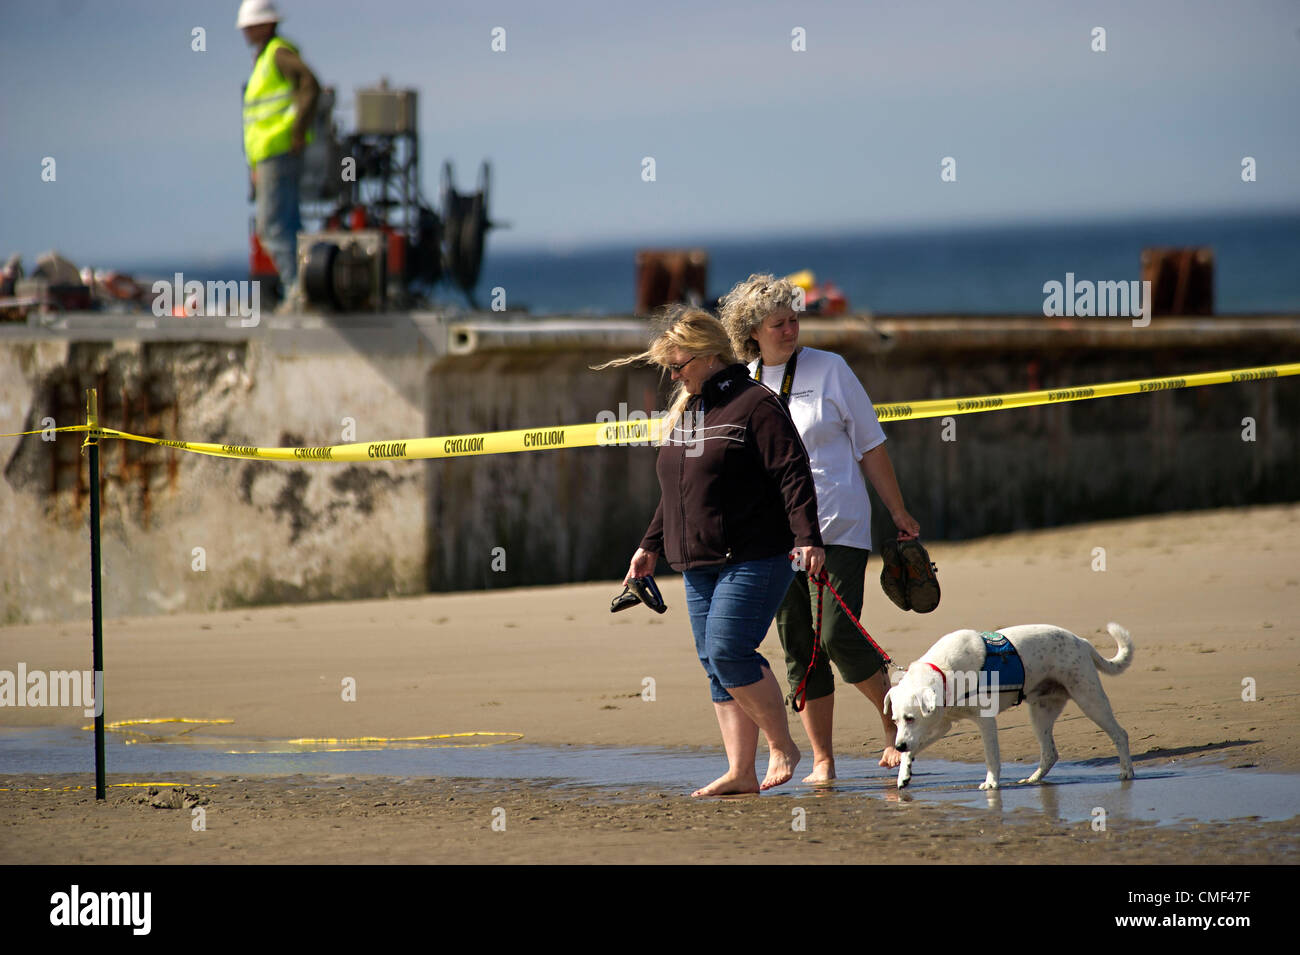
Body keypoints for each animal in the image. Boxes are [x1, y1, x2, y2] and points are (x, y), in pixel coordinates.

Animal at [889, 623, 1133, 789]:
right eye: (895, 721)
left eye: (910, 718)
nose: (898, 745)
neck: (944, 671)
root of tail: (1082, 641)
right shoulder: (942, 725)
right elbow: (913, 749)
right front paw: (903, 773)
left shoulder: (985, 721)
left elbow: (991, 756)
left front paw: (991, 783)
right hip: (1041, 712)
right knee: (1050, 753)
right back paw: (1033, 779)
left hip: (1089, 699)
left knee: (1120, 734)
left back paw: (1126, 771)